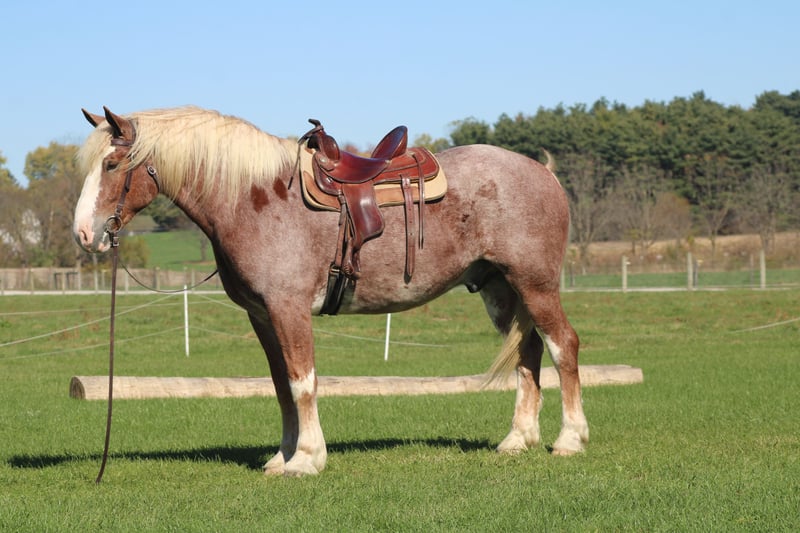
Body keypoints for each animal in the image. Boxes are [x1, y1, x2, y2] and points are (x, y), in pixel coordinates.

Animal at [73, 106, 589, 476]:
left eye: (113, 163)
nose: (83, 234)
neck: (253, 199)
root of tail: (543, 172)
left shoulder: (289, 309)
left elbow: (303, 382)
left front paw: (306, 459)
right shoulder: (262, 315)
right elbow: (281, 385)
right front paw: (282, 457)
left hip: (535, 285)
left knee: (563, 346)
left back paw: (570, 439)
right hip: (501, 291)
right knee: (527, 355)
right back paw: (517, 440)